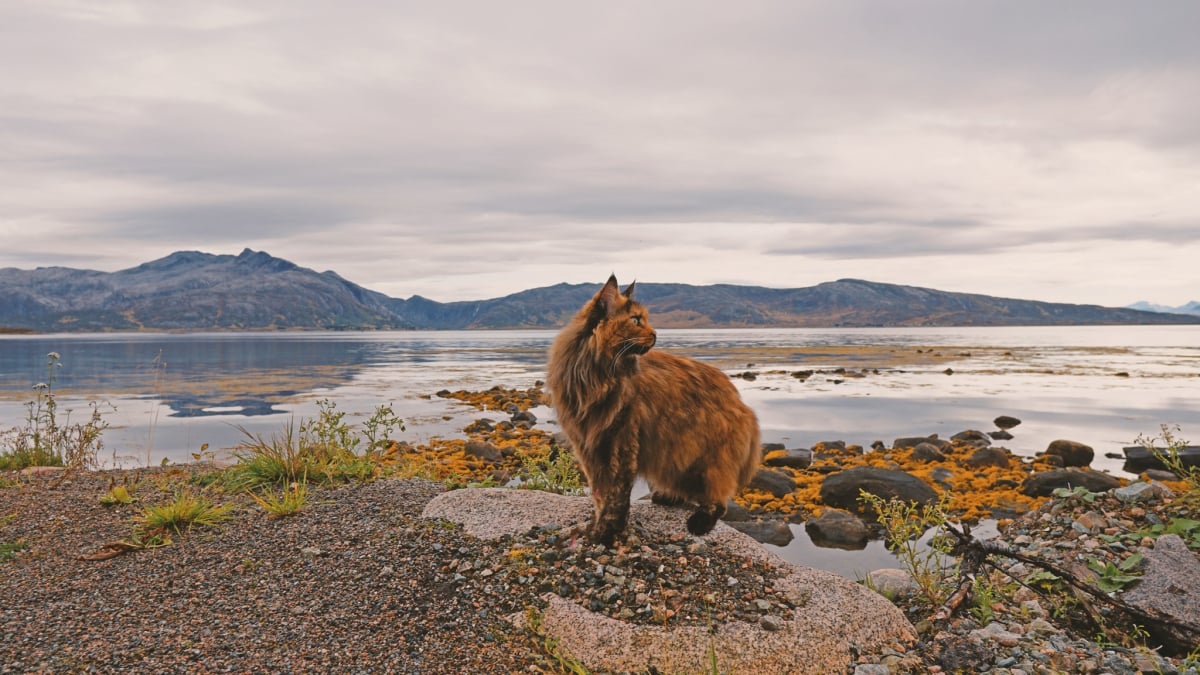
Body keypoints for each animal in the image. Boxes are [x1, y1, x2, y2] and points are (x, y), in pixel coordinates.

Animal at [549, 276, 763, 542]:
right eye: (635, 320)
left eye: (644, 319)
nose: (655, 334)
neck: (596, 377)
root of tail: (742, 403)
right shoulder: (588, 447)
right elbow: (600, 496)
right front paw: (596, 528)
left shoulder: (620, 441)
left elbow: (616, 497)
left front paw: (608, 533)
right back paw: (667, 497)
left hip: (710, 459)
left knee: (718, 500)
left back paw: (699, 521)